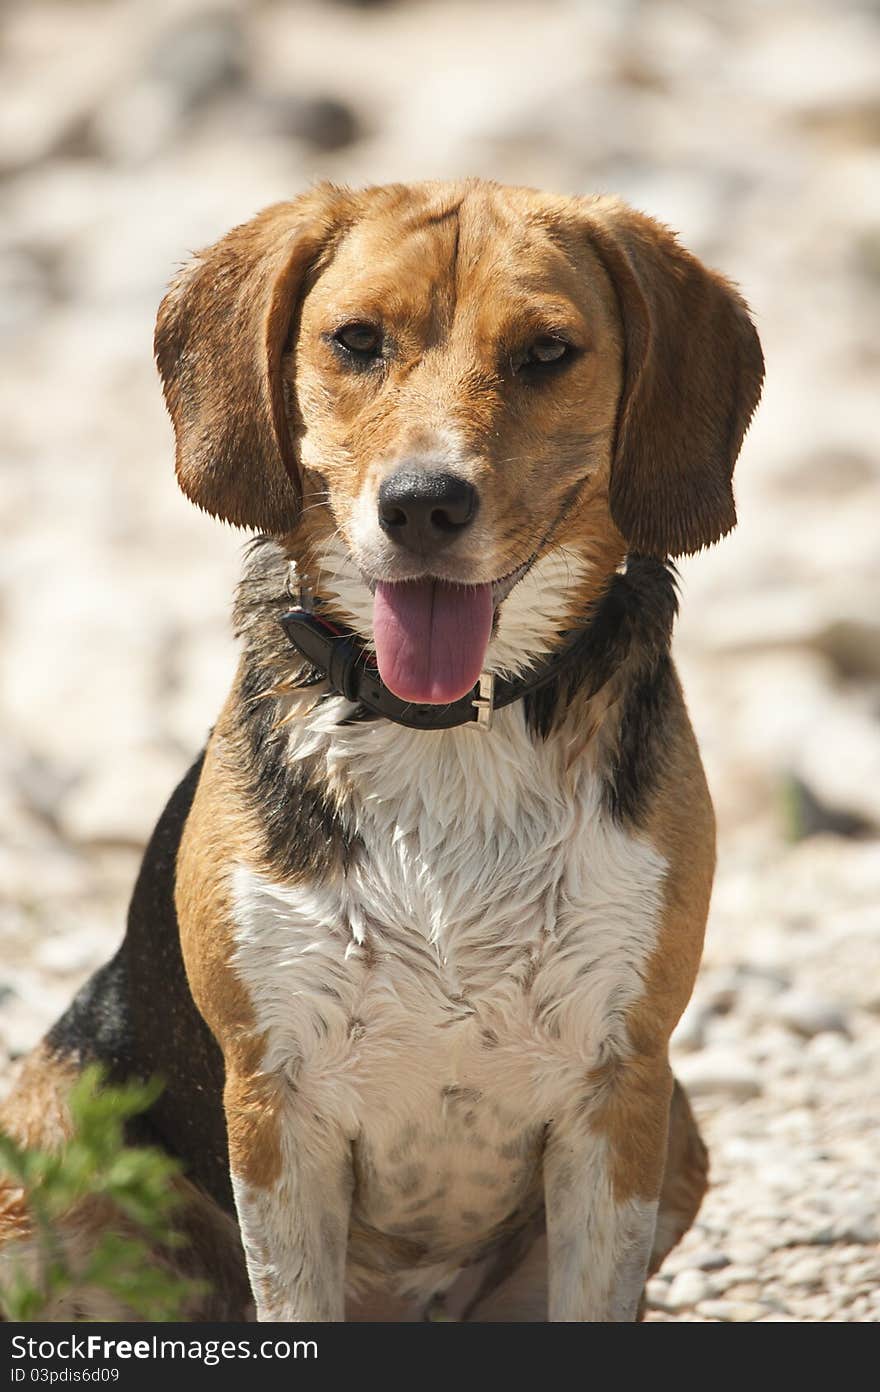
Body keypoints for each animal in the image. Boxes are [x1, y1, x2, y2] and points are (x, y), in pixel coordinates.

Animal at [0, 179, 763, 1319]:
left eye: (547, 352)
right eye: (355, 341)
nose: (423, 503)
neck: (448, 732)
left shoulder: (620, 1091)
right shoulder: (276, 1107)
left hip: (684, 1137)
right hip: (43, 1151)